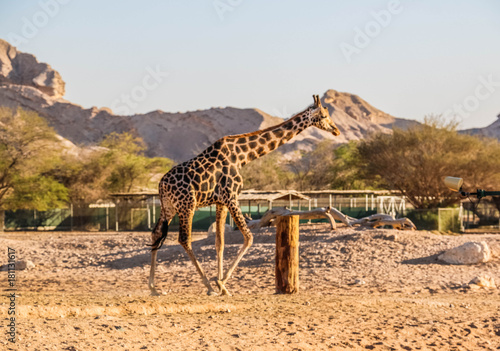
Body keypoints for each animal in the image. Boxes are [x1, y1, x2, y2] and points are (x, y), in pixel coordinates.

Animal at [148, 94, 342, 296]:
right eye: (324, 116)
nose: (336, 130)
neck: (243, 157)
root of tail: (161, 185)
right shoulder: (231, 196)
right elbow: (249, 237)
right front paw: (220, 283)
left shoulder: (221, 202)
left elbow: (220, 242)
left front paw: (223, 286)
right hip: (187, 205)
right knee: (184, 239)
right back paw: (207, 286)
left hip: (169, 207)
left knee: (156, 234)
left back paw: (153, 288)